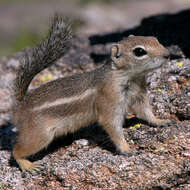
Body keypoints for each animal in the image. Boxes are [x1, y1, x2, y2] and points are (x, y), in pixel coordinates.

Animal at [11, 15, 171, 172]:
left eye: (155, 39)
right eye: (139, 52)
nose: (168, 55)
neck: (130, 78)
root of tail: (20, 106)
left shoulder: (139, 95)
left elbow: (146, 112)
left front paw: (160, 121)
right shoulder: (109, 100)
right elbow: (112, 126)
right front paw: (126, 149)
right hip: (40, 135)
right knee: (16, 151)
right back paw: (28, 165)